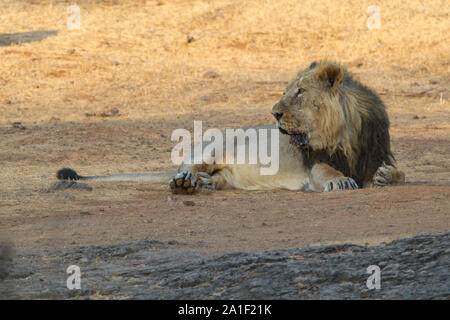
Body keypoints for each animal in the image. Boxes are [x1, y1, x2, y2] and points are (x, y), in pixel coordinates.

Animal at [55, 61, 404, 194]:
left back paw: (203, 184)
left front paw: (387, 177)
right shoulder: (315, 163)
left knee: (217, 180)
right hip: (211, 147)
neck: (345, 136)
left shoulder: (377, 152)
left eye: (299, 92)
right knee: (185, 169)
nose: (275, 113)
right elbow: (328, 172)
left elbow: (399, 172)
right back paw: (184, 182)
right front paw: (340, 181)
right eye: (287, 90)